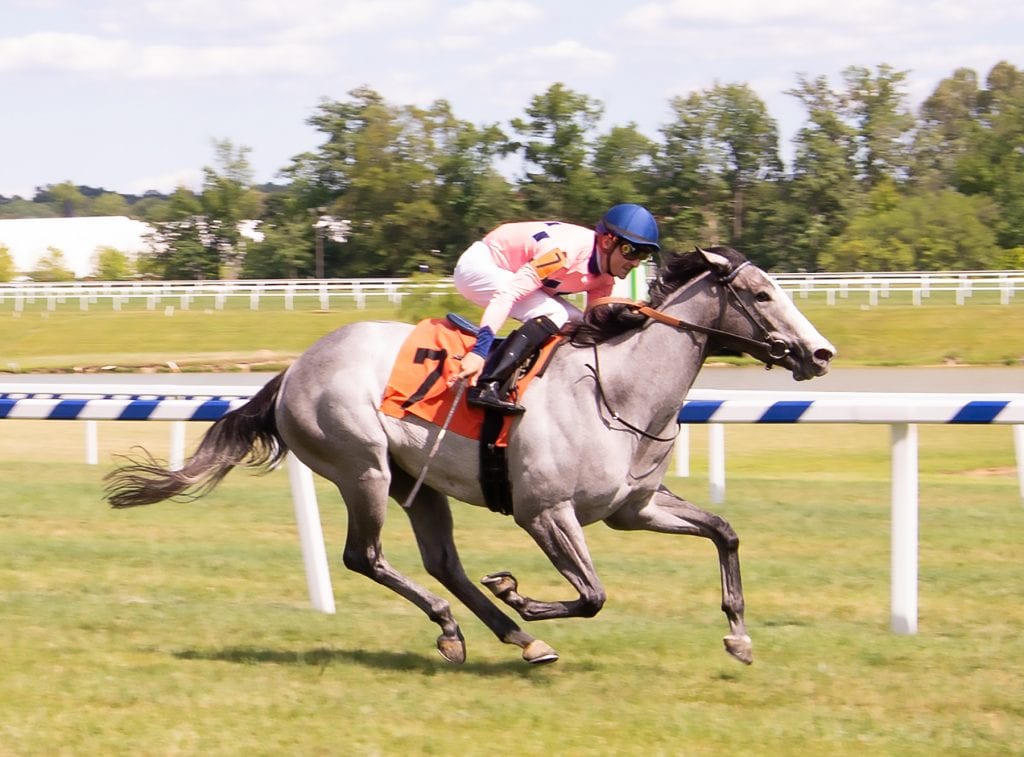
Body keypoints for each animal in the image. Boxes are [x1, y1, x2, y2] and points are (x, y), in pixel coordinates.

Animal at [108, 246, 835, 663]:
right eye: (763, 294)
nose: (821, 352)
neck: (620, 392)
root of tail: (293, 370)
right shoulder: (545, 512)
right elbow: (593, 593)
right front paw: (521, 593)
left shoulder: (637, 508)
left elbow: (724, 532)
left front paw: (738, 634)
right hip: (362, 466)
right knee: (364, 556)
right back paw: (467, 627)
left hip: (416, 482)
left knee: (442, 563)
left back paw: (513, 636)